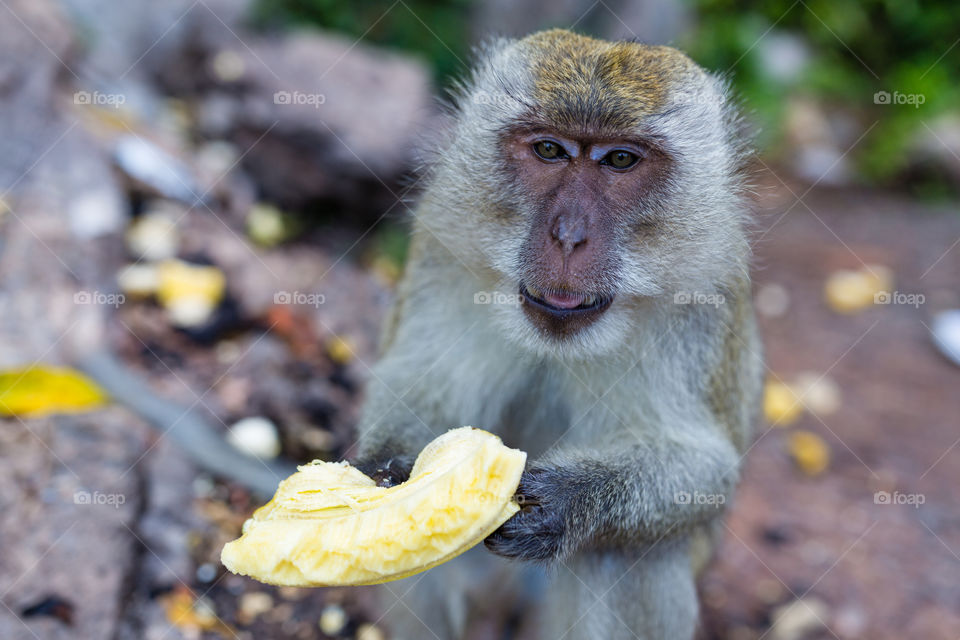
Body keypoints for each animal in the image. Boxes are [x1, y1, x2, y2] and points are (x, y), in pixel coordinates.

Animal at [348, 27, 760, 636]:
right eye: (549, 150)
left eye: (619, 159)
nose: (567, 235)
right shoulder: (445, 251)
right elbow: (417, 382)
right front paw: (391, 465)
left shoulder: (705, 298)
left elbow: (703, 467)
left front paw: (567, 501)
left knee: (627, 556)